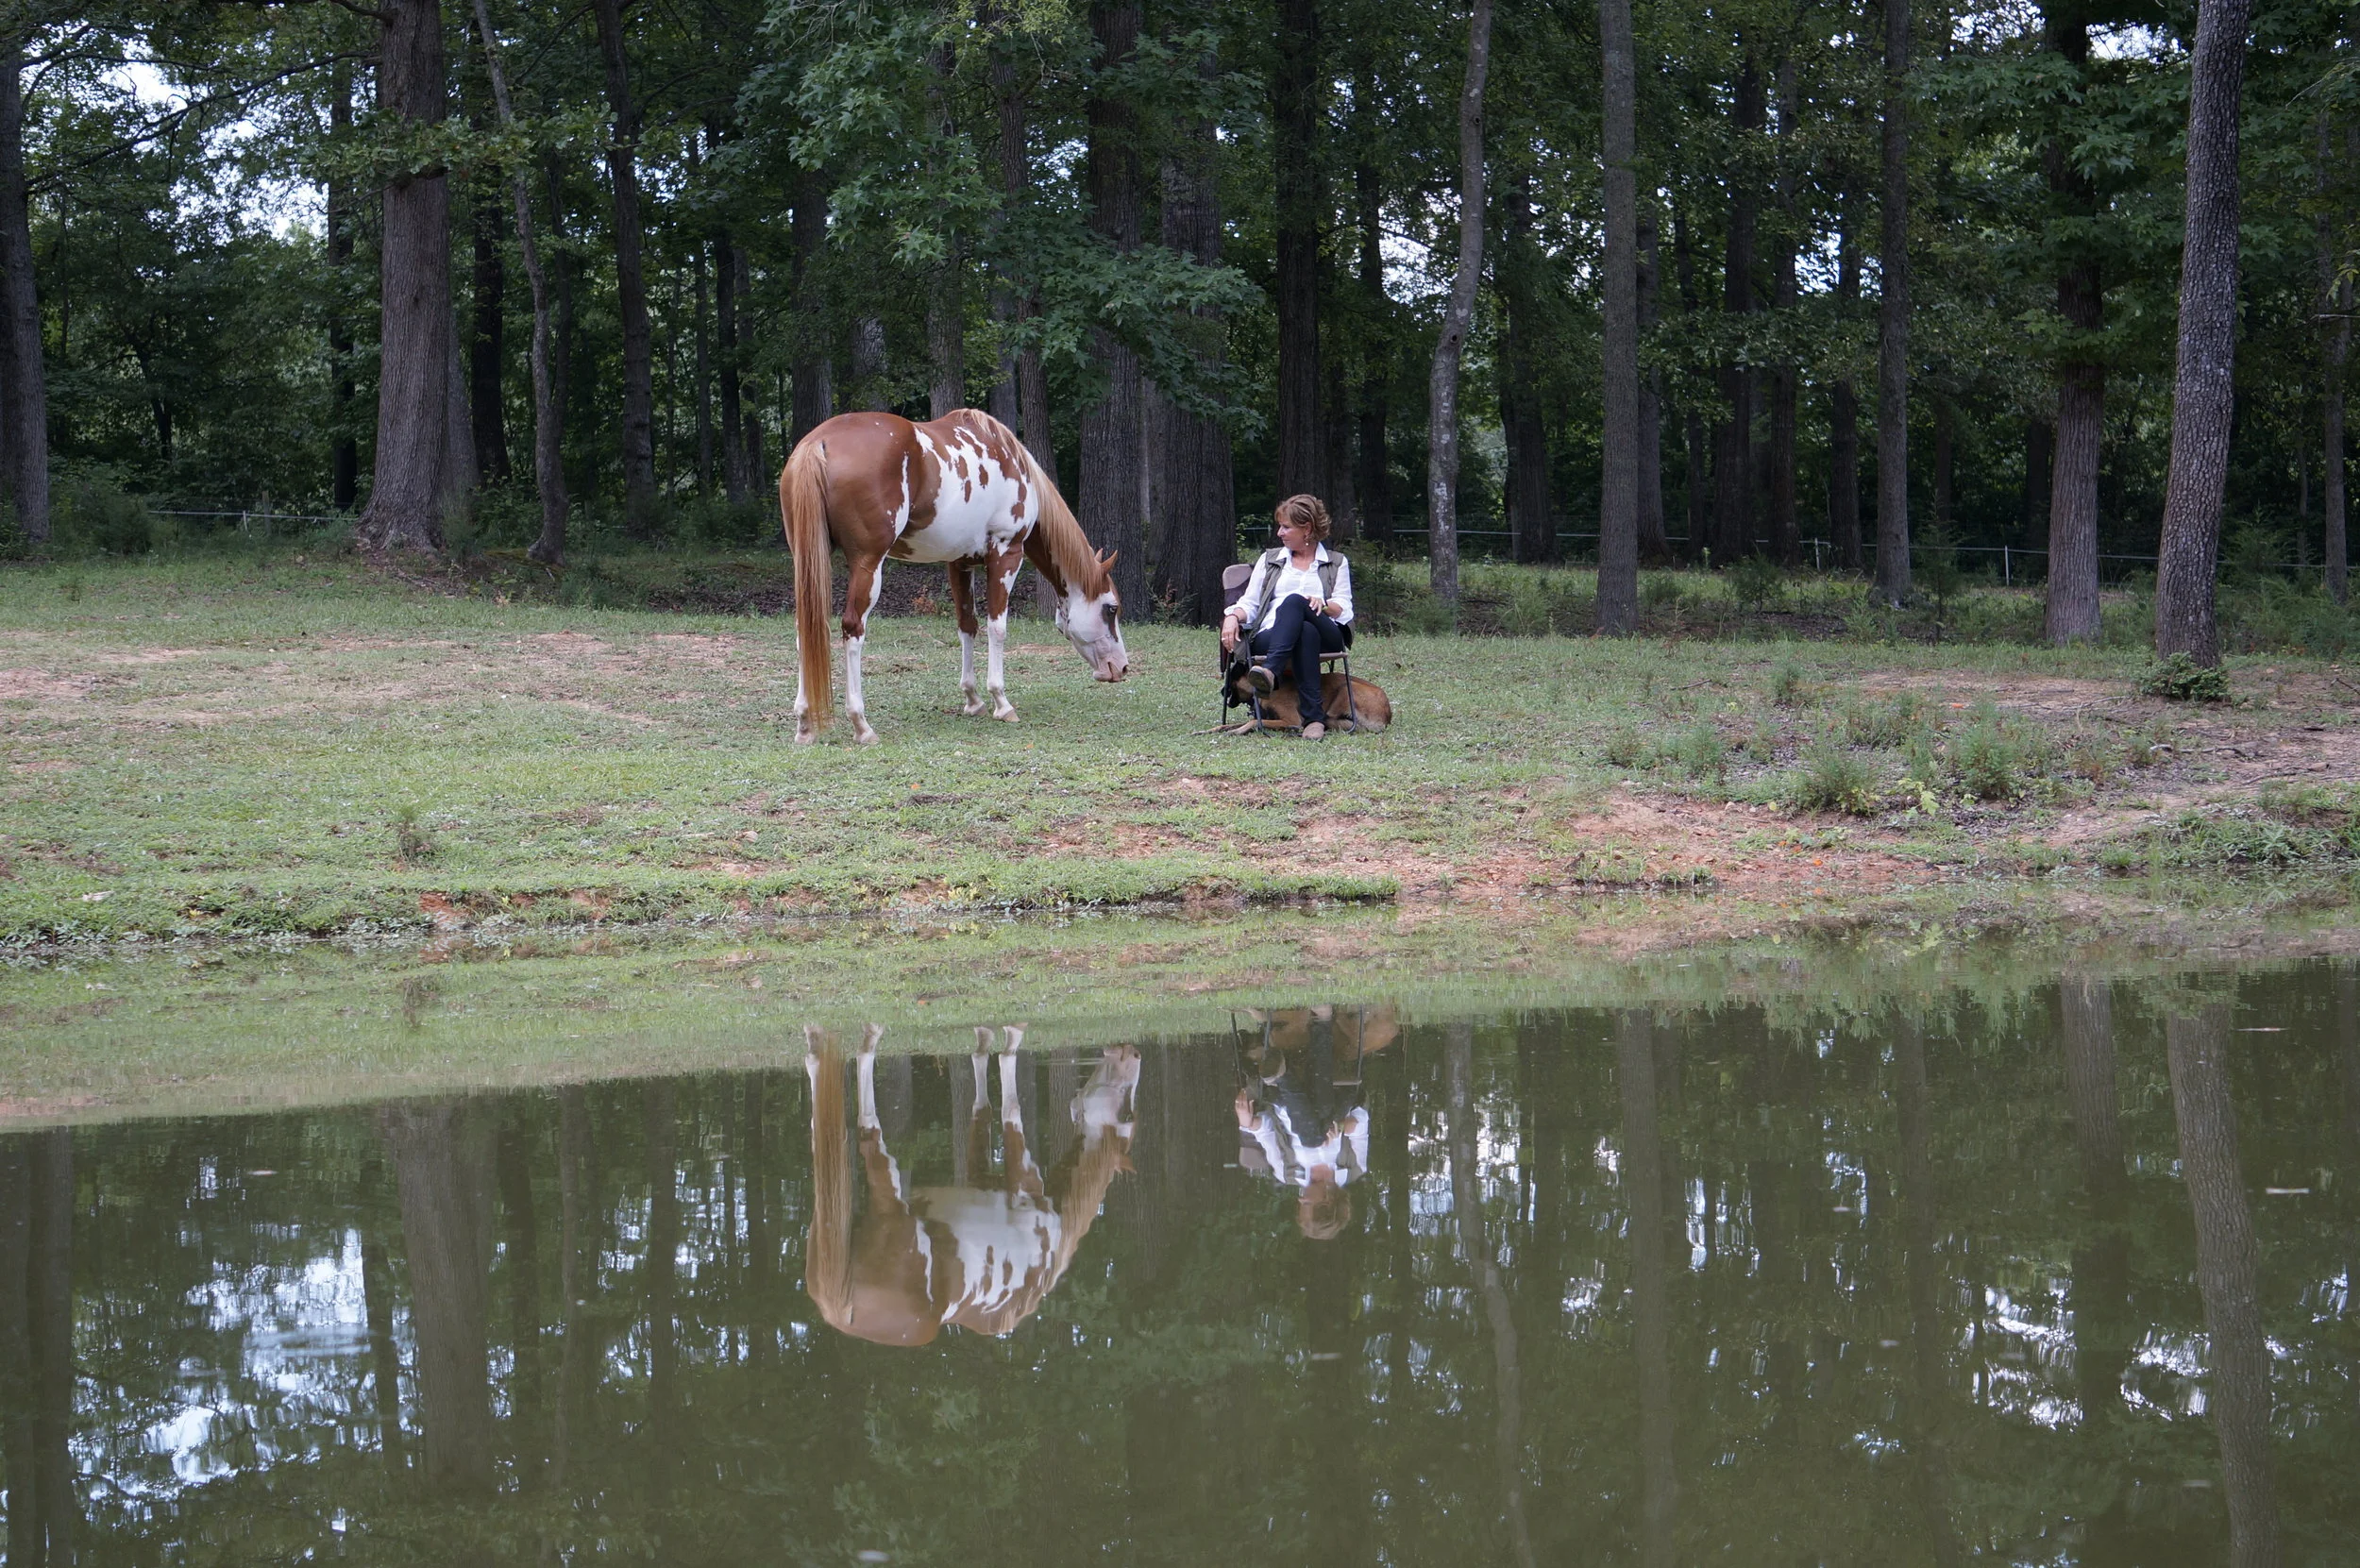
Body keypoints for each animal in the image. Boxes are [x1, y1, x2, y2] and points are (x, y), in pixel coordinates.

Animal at [781, 409, 1130, 745]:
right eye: (1111, 609)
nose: (1121, 668)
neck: (1009, 458)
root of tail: (819, 442)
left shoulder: (960, 563)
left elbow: (967, 625)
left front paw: (973, 700)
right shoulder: (1006, 555)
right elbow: (997, 628)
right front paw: (1001, 702)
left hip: (807, 563)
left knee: (804, 630)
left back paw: (804, 724)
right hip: (868, 565)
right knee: (853, 630)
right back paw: (861, 725)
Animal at [803, 1024, 1139, 1344]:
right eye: (1127, 1114)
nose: (1132, 1051)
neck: (1057, 1230)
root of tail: (842, 1310)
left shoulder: (981, 1178)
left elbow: (982, 1094)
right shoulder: (1022, 1181)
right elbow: (1009, 1087)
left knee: (817, 1073)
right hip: (891, 1195)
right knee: (866, 1096)